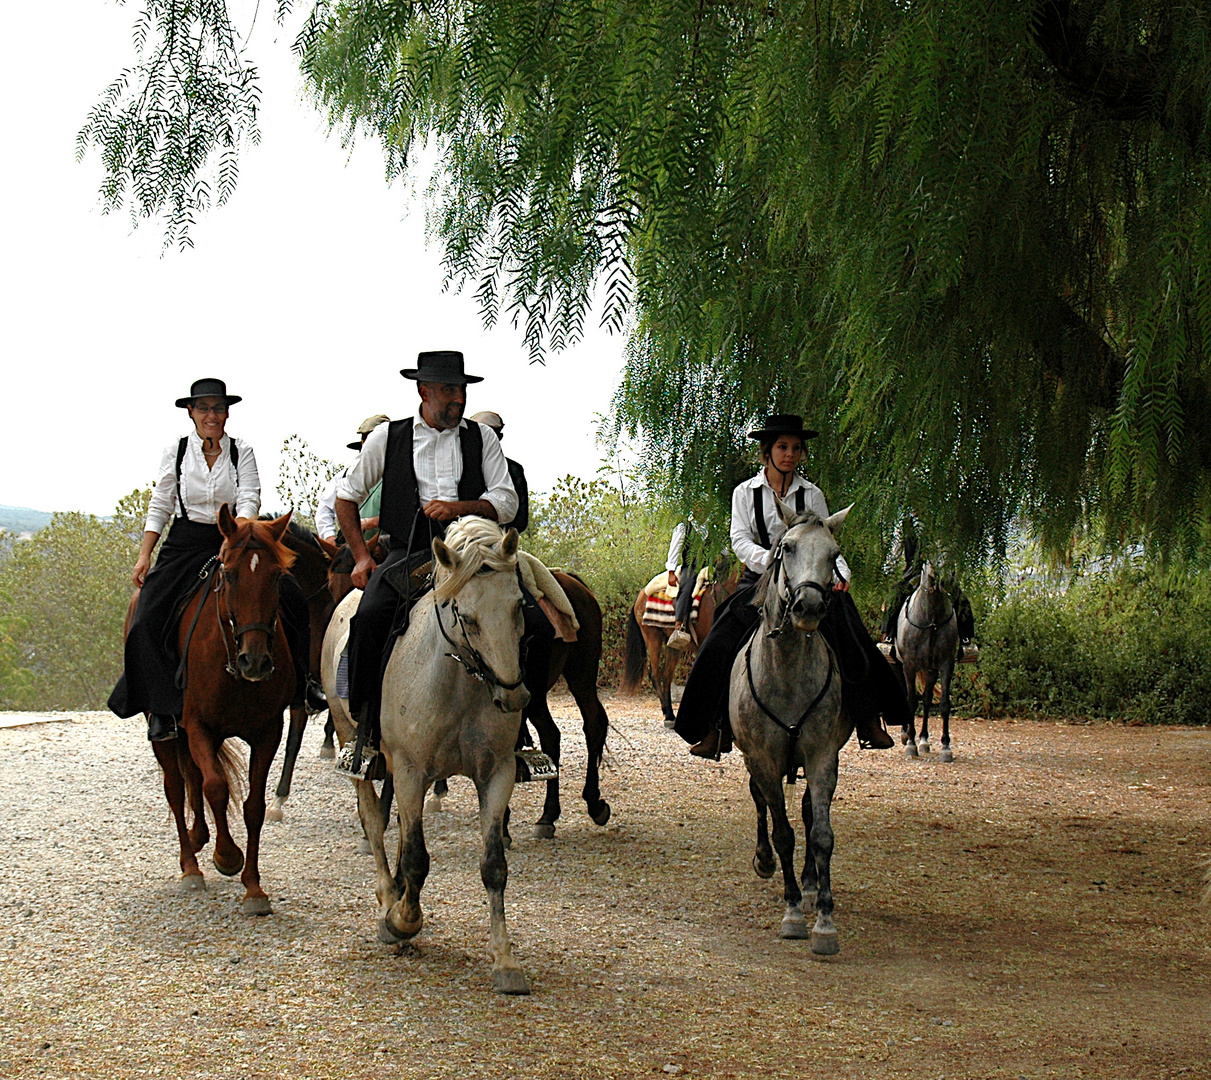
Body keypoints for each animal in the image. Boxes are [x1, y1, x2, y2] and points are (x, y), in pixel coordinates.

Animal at [145, 506, 297, 910]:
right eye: (229, 575)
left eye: (277, 576)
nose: (254, 662)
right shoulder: (198, 725)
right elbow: (215, 786)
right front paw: (227, 856)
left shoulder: (267, 732)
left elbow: (253, 805)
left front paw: (254, 888)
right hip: (167, 733)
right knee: (175, 786)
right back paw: (190, 866)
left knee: (191, 778)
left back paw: (199, 837)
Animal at [624, 569, 736, 731]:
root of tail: (642, 592)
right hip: (652, 636)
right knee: (655, 675)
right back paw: (669, 715)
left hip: (673, 646)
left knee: (666, 676)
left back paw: (670, 715)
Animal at [726, 496, 852, 954]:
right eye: (789, 548)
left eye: (834, 554)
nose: (809, 608)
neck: (787, 672)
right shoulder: (762, 758)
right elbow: (783, 833)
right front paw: (793, 912)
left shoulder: (822, 756)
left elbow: (820, 833)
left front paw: (825, 920)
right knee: (761, 801)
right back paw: (765, 862)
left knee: (808, 812)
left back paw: (811, 883)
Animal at [891, 561, 954, 765]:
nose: (946, 579)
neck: (932, 619)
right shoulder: (909, 665)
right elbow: (911, 701)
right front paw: (911, 743)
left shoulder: (946, 664)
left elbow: (944, 704)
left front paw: (946, 747)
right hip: (899, 665)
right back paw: (906, 735)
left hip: (930, 670)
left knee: (926, 699)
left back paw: (924, 740)